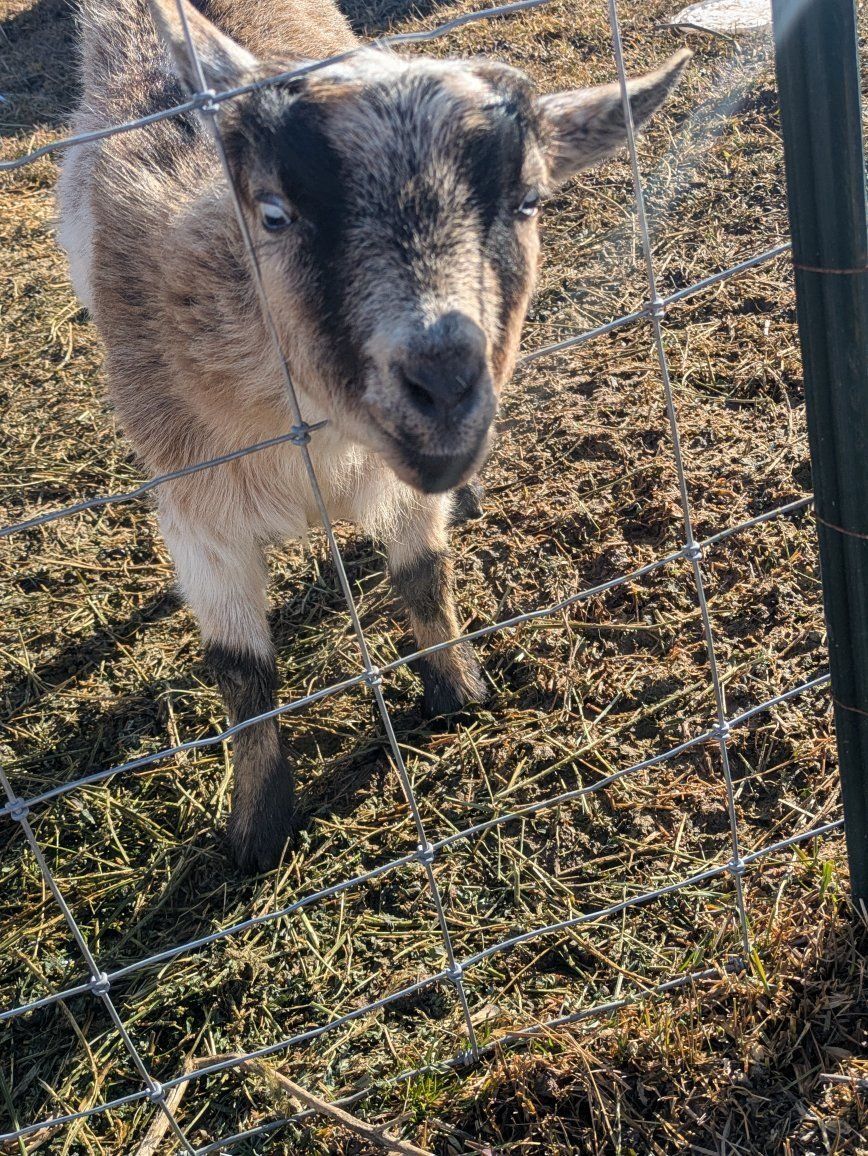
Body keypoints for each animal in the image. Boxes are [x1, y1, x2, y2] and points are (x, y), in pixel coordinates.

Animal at [57, 0, 689, 871]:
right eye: (274, 212)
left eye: (528, 201)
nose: (445, 381)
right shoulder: (194, 502)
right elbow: (241, 671)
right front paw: (258, 830)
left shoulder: (400, 482)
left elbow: (423, 574)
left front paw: (458, 691)